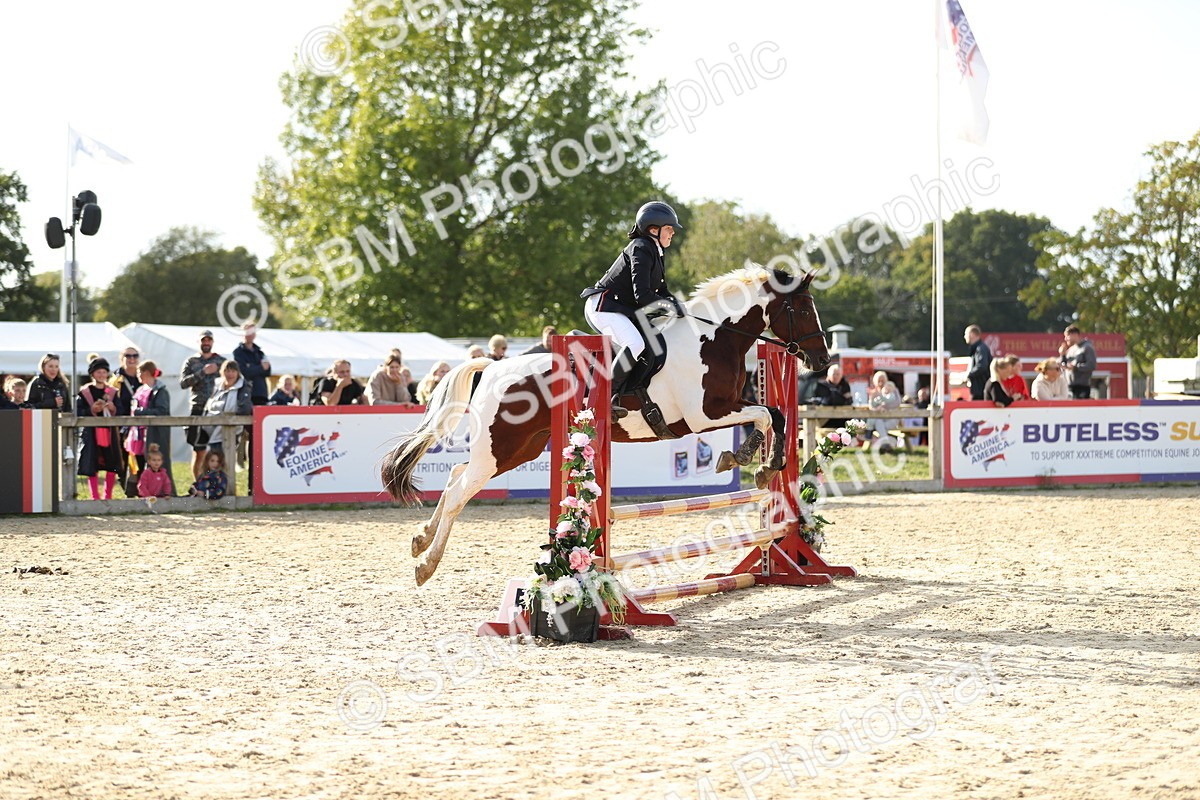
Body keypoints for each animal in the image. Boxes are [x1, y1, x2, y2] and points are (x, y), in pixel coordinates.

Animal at [382, 265, 831, 585]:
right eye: (801, 309)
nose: (823, 361)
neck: (714, 341)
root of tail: (493, 368)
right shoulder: (704, 416)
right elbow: (767, 415)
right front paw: (760, 463)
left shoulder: (726, 407)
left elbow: (773, 416)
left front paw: (748, 458)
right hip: (500, 450)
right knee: (460, 490)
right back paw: (426, 565)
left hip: (517, 449)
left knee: (456, 475)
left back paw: (421, 540)